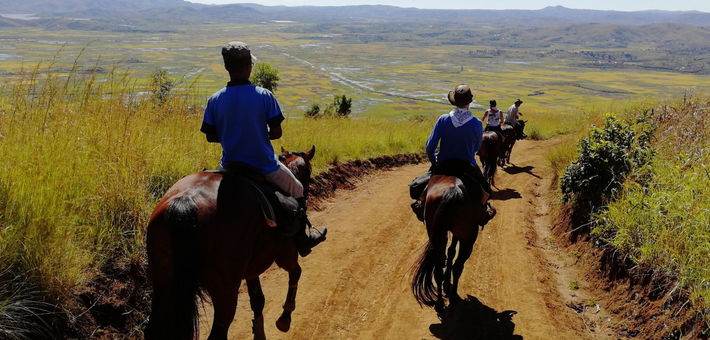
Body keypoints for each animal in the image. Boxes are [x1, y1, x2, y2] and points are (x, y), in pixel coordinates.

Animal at [147, 145, 318, 340]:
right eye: (310, 171)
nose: (305, 195)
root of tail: (184, 201)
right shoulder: (286, 253)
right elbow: (296, 272)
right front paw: (285, 318)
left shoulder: (251, 269)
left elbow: (258, 300)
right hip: (225, 288)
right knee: (219, 331)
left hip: (163, 284)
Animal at [414, 174, 486, 312]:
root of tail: (453, 190)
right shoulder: (458, 234)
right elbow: (452, 252)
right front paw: (447, 282)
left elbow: (450, 252)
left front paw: (446, 281)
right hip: (468, 240)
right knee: (457, 266)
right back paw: (451, 298)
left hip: (438, 234)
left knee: (438, 269)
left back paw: (440, 302)